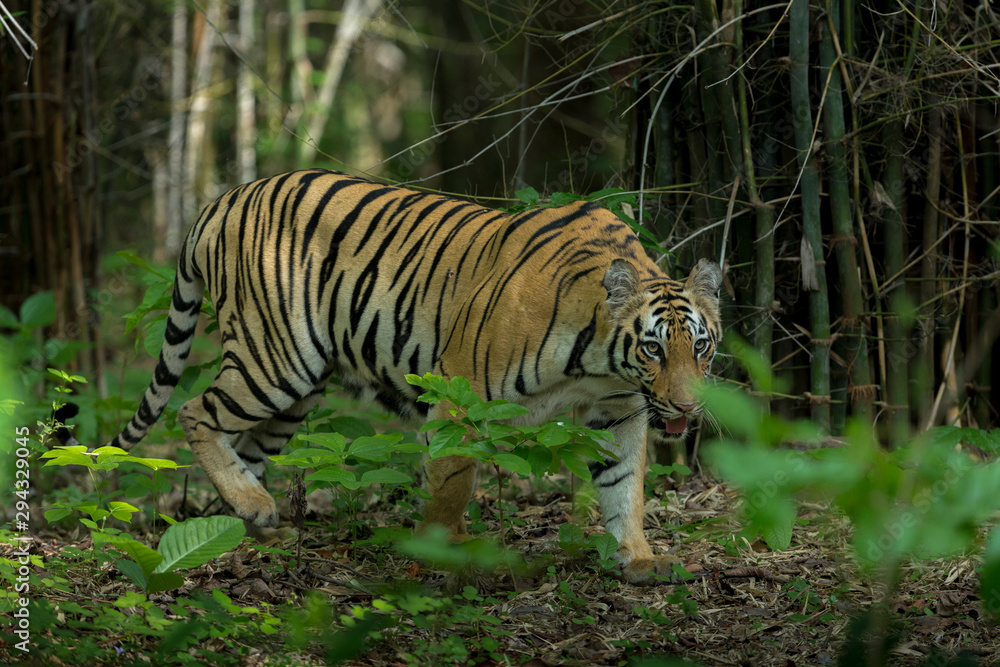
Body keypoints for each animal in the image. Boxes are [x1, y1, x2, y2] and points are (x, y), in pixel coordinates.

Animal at [58, 169, 723, 584]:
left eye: (702, 348)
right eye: (653, 350)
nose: (689, 410)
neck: (598, 361)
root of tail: (223, 199)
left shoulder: (621, 409)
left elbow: (625, 486)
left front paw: (638, 559)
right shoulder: (460, 393)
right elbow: (452, 481)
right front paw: (439, 554)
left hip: (298, 392)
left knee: (243, 445)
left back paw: (253, 518)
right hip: (276, 360)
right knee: (194, 411)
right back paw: (252, 504)